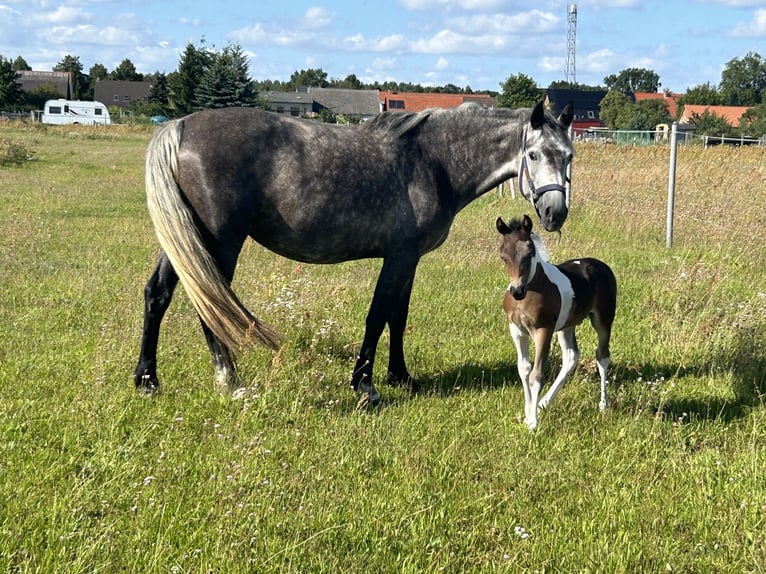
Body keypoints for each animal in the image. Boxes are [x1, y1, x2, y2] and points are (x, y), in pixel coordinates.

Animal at [134, 100, 576, 404]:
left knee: (159, 294)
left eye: (569, 155)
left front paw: (401, 376)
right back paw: (230, 381)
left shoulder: (409, 260)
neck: (433, 161)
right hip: (219, 242)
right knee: (210, 305)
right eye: (533, 154)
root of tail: (180, 126)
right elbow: (378, 316)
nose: (554, 213)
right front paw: (365, 384)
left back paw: (147, 380)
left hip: (186, 240)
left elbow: (398, 317)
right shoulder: (398, 257)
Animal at [498, 216, 616, 432]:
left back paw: (603, 404)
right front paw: (528, 411)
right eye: (503, 255)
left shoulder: (543, 330)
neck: (533, 287)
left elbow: (536, 375)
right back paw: (544, 402)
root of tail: (601, 265)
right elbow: (524, 369)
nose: (517, 291)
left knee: (602, 356)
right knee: (571, 356)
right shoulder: (517, 330)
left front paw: (533, 423)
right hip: (566, 326)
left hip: (603, 320)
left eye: (530, 252)